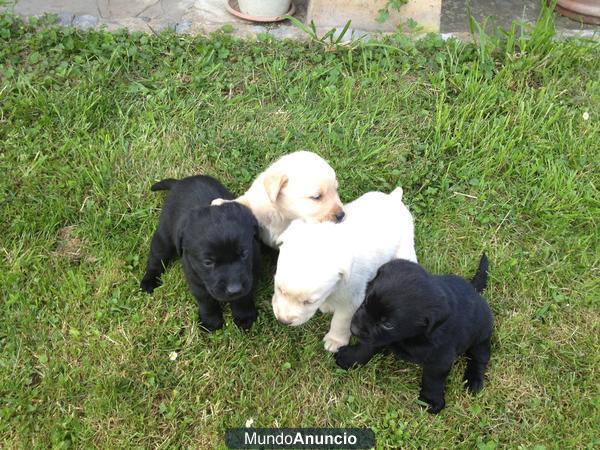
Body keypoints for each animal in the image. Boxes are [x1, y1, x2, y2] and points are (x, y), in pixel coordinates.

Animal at [143, 176, 262, 330]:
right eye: (208, 262)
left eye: (244, 254)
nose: (234, 289)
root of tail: (179, 182)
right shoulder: (195, 278)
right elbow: (206, 301)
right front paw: (210, 321)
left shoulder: (251, 273)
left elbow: (244, 297)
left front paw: (244, 316)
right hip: (164, 235)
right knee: (156, 257)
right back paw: (148, 281)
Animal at [211, 151, 344, 250]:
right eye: (316, 197)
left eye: (336, 190)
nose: (342, 215)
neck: (282, 213)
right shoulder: (257, 201)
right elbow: (244, 202)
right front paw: (220, 203)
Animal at [272, 186, 418, 352]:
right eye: (279, 289)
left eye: (309, 302)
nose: (283, 321)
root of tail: (394, 199)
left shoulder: (351, 300)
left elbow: (341, 321)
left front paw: (335, 340)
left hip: (405, 247)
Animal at [336, 255, 494, 414]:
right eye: (366, 300)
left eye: (388, 324)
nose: (354, 329)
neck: (410, 336)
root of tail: (474, 290)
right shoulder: (378, 337)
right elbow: (367, 346)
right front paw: (351, 358)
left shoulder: (440, 358)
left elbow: (433, 379)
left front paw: (430, 400)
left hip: (481, 336)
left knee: (479, 358)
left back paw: (474, 380)